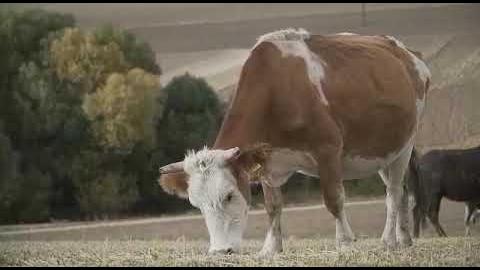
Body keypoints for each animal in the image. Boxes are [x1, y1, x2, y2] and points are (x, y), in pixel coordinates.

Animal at [157, 28, 432, 256]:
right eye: (197, 204)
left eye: (229, 195)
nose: (219, 251)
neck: (277, 91)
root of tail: (408, 53)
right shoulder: (267, 162)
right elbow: (272, 206)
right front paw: (271, 248)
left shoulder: (328, 149)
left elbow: (334, 199)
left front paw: (344, 241)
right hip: (386, 152)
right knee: (402, 189)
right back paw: (404, 238)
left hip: (405, 145)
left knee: (393, 193)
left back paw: (388, 240)